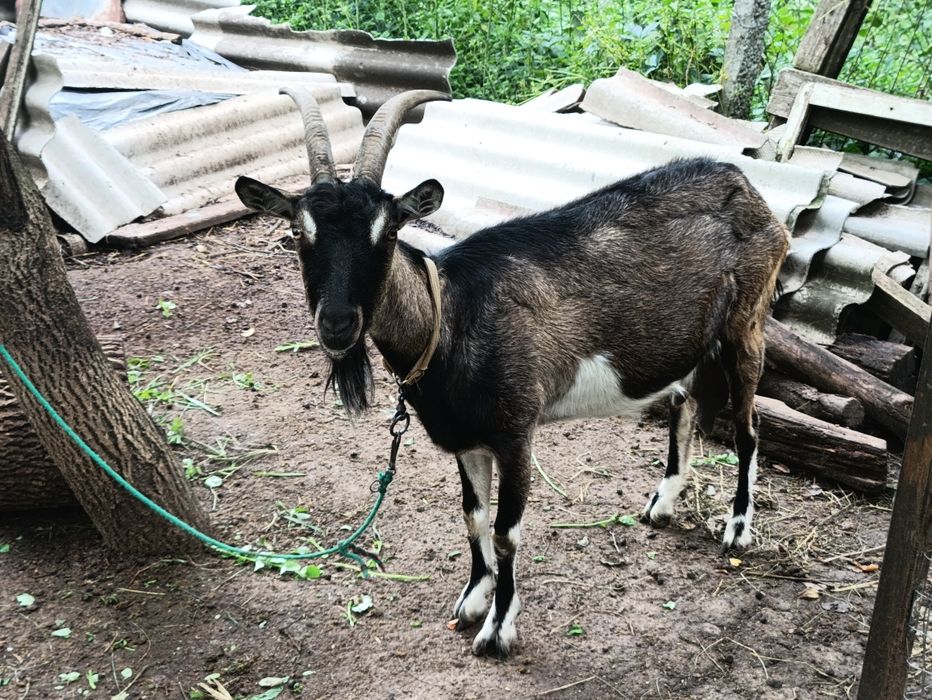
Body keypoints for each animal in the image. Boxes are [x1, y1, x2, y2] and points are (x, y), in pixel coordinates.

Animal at [235, 88, 790, 658]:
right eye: (297, 231)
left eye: (388, 232)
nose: (338, 322)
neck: (452, 315)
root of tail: (746, 185)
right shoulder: (467, 440)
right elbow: (472, 516)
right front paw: (472, 598)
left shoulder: (515, 433)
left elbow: (505, 531)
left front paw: (499, 629)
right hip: (692, 343)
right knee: (684, 404)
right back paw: (661, 504)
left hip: (747, 323)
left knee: (747, 428)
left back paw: (738, 528)